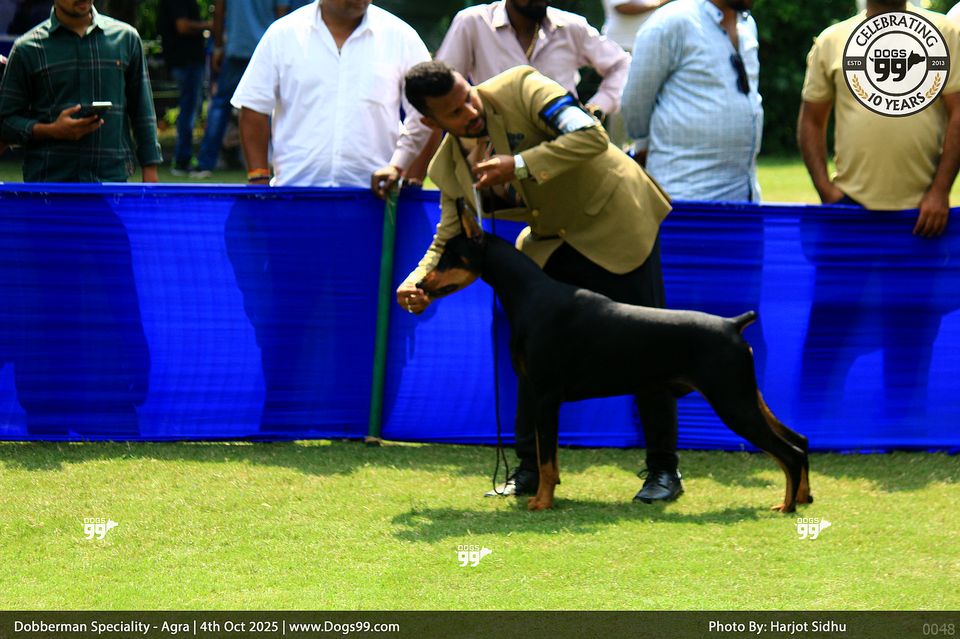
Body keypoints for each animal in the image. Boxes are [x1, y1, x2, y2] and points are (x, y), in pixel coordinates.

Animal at [416, 207, 813, 513]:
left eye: (450, 256)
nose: (419, 285)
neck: (529, 294)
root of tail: (733, 324)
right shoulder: (536, 393)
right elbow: (549, 457)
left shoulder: (545, 396)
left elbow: (546, 461)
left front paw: (542, 503)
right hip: (747, 395)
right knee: (801, 439)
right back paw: (803, 497)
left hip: (732, 400)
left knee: (789, 451)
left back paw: (787, 505)